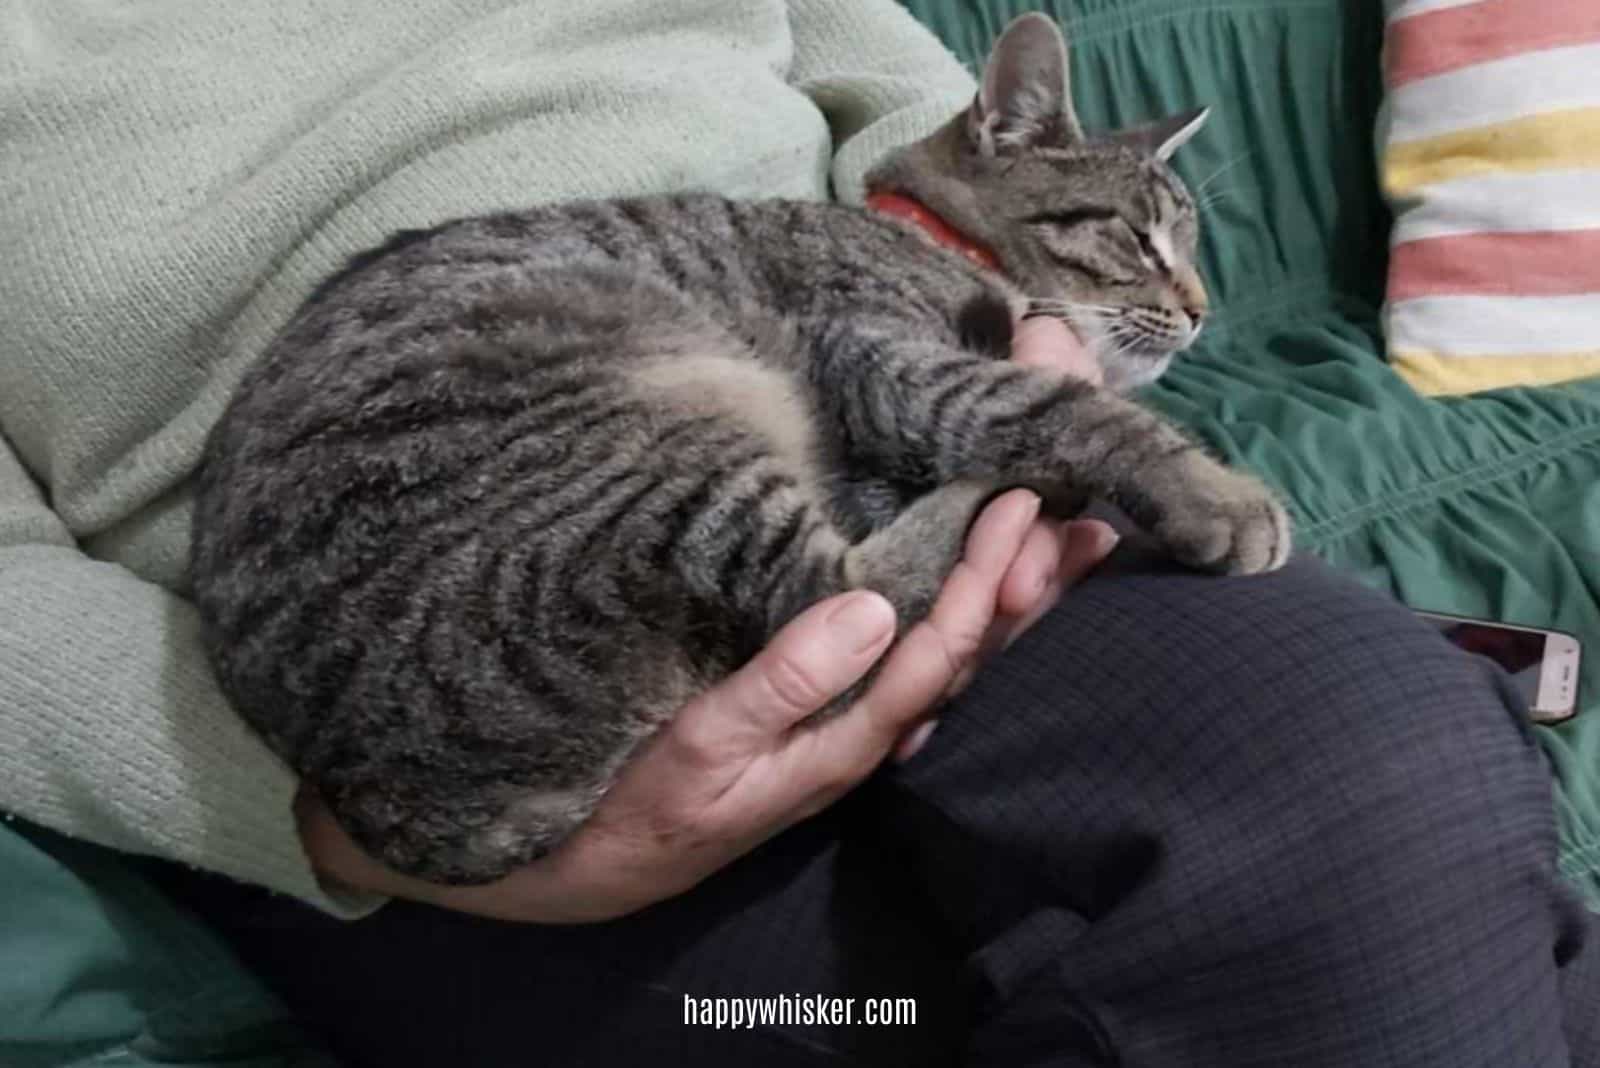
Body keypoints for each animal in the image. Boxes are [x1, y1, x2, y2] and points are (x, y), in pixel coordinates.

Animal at [190, 14, 1286, 882]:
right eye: (1142, 240)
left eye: (1191, 247)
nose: (1201, 309)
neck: (932, 240)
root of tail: (390, 799)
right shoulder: (886, 365)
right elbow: (1066, 405)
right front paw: (1219, 496)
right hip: (668, 442)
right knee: (841, 592)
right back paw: (981, 499)